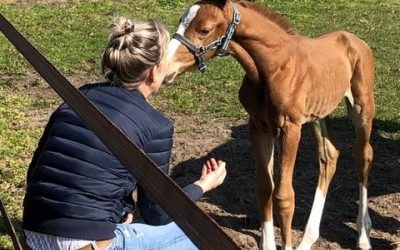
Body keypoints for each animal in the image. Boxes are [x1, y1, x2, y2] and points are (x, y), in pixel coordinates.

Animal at [164, 0, 376, 249]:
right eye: (181, 20)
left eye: (204, 30)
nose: (166, 67)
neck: (271, 67)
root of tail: (353, 39)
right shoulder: (258, 126)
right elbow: (265, 188)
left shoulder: (290, 129)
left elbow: (284, 196)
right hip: (318, 114)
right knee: (329, 154)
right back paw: (308, 239)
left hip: (362, 107)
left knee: (363, 155)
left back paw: (363, 235)